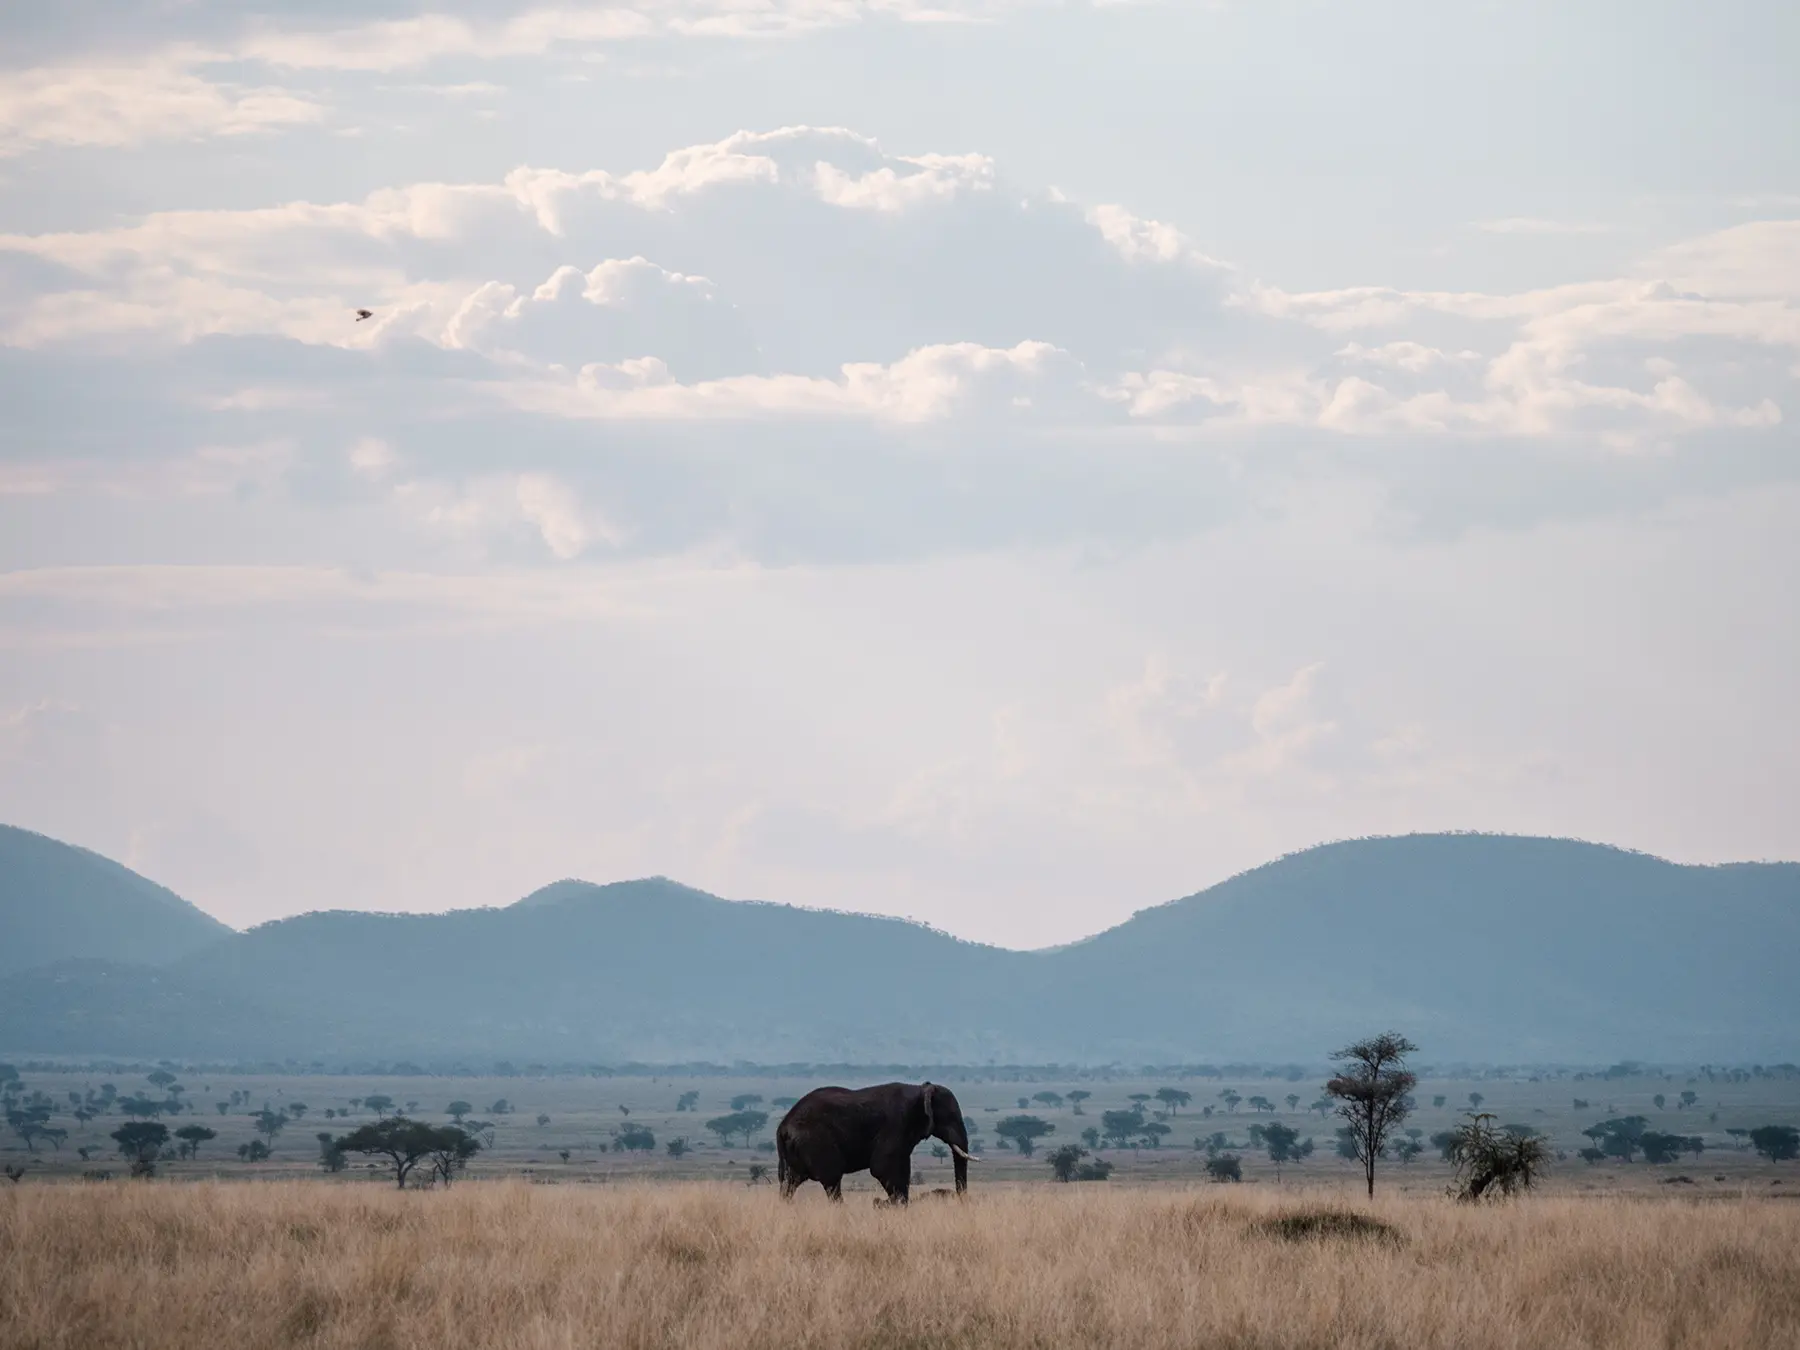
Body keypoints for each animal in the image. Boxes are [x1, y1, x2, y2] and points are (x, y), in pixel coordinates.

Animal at [776, 1081, 978, 1202]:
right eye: (951, 1116)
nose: (961, 1200)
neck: (921, 1090)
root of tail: (783, 1127)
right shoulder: (896, 1124)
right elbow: (883, 1167)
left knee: (789, 1182)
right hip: (816, 1142)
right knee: (831, 1181)